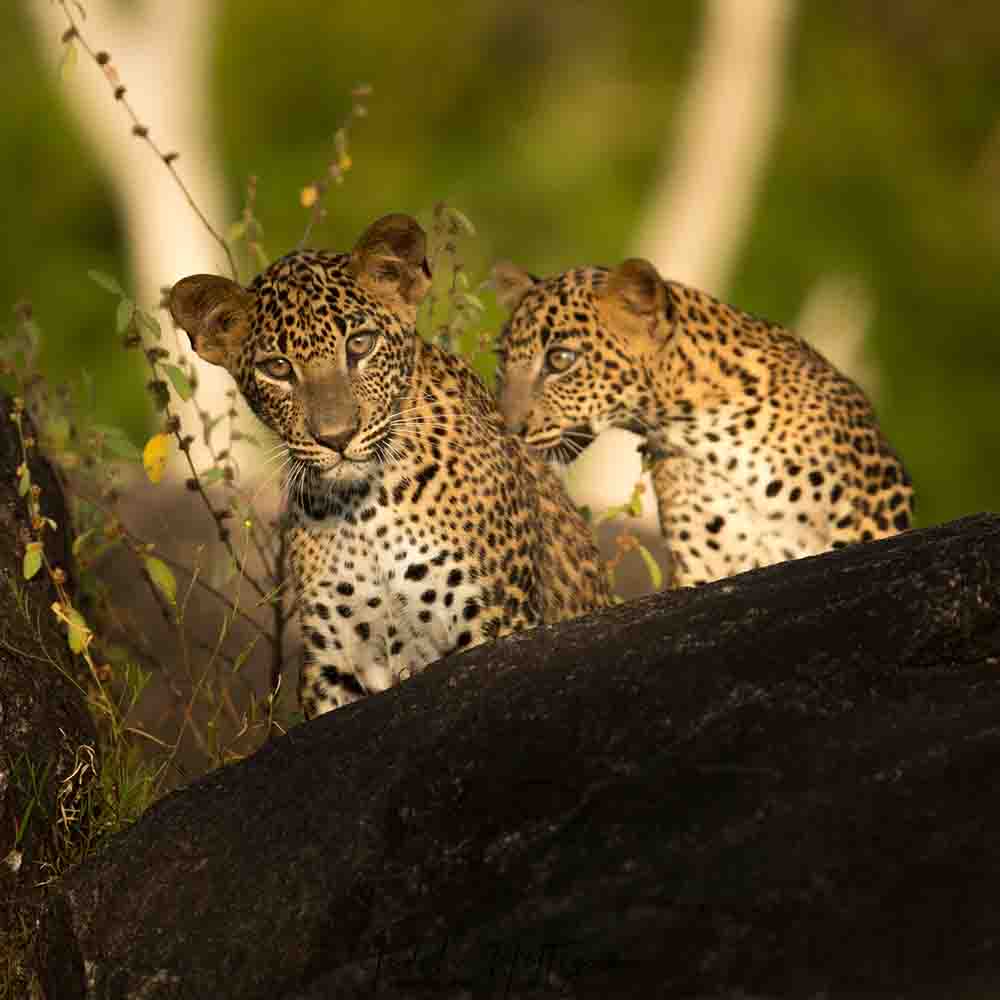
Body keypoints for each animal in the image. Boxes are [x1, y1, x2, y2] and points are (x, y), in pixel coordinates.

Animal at [168, 214, 611, 718]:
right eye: (277, 368)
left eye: (360, 344)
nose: (336, 437)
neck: (364, 509)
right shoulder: (335, 662)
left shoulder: (496, 619)